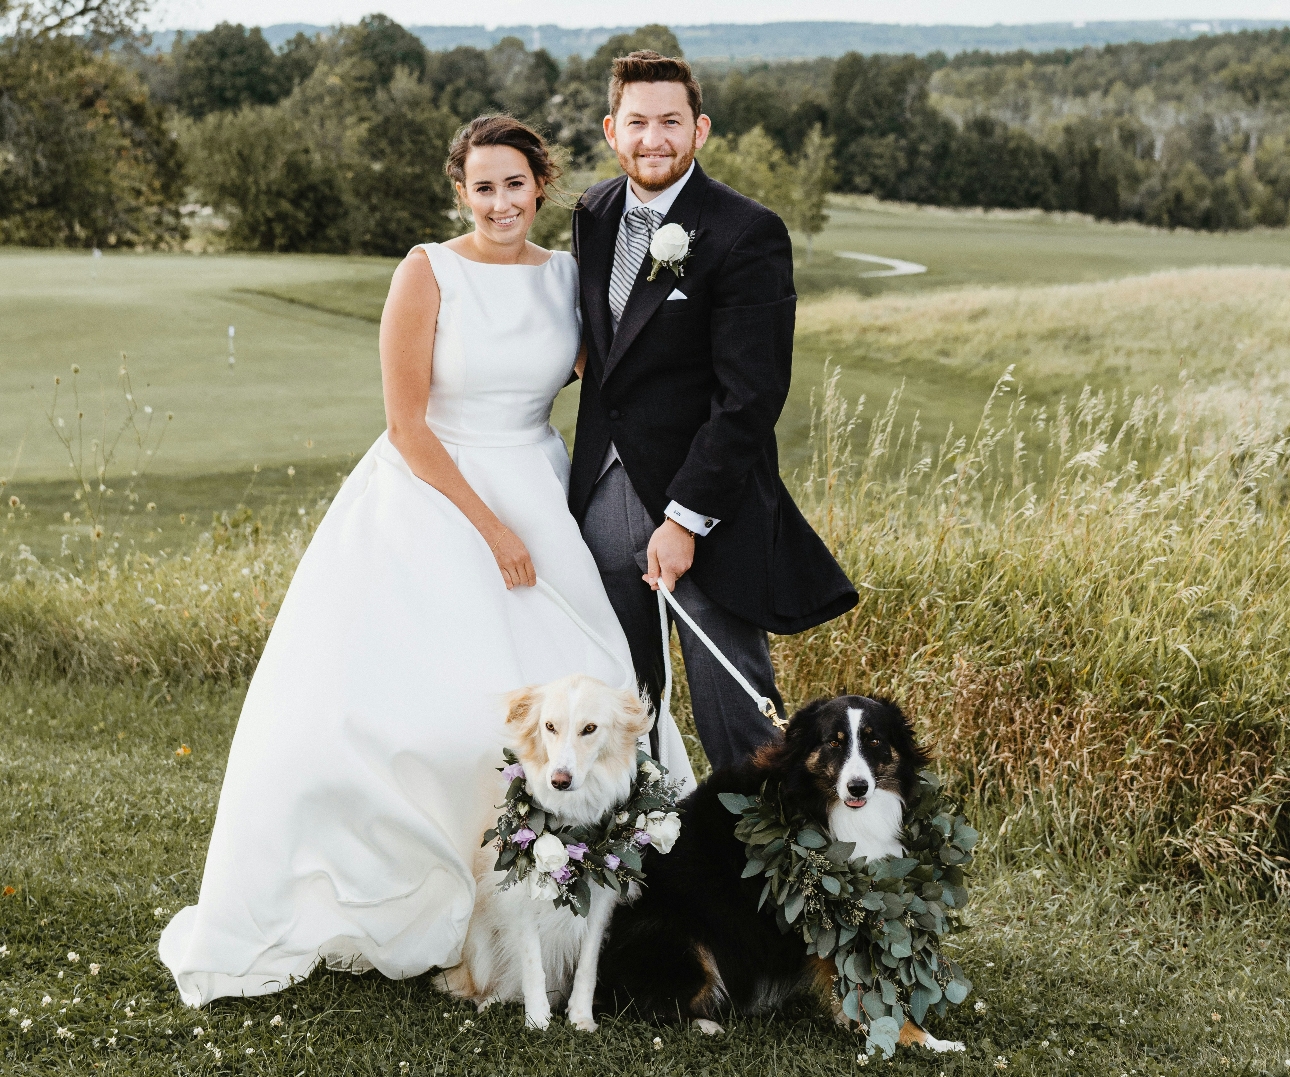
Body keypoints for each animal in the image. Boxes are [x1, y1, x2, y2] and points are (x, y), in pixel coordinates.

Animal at [438, 675, 650, 1037]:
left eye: (589, 728)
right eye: (549, 726)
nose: (559, 781)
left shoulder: (600, 903)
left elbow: (587, 966)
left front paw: (581, 1017)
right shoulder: (521, 898)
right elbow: (531, 964)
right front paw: (537, 1020)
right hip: (479, 943)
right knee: (493, 982)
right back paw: (491, 1001)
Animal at [598, 696, 964, 1057]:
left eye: (874, 740)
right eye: (834, 742)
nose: (858, 788)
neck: (821, 805)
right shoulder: (835, 912)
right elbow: (874, 990)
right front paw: (926, 1041)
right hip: (681, 939)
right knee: (647, 1006)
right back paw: (704, 1024)